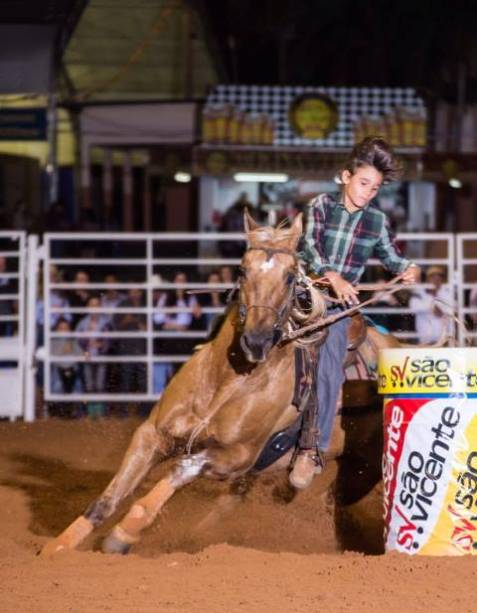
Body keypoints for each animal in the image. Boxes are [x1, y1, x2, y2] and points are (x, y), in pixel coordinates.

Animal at [40, 212, 406, 556]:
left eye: (290, 276)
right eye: (242, 270)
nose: (257, 340)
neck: (226, 383)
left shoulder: (236, 456)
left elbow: (182, 467)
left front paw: (123, 535)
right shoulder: (153, 434)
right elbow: (107, 499)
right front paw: (58, 547)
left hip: (360, 471)